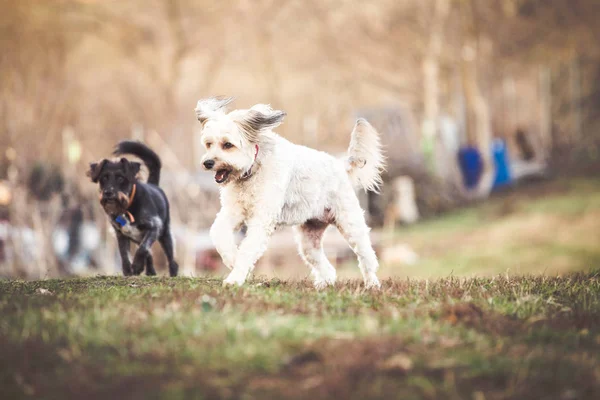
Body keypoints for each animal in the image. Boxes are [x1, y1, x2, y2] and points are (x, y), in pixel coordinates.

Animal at [87, 142, 178, 276]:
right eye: (103, 178)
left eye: (120, 178)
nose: (108, 193)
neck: (127, 208)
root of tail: (153, 185)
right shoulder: (120, 234)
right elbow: (124, 253)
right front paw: (128, 270)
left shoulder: (154, 227)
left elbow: (143, 249)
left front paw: (136, 266)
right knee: (149, 253)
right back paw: (150, 271)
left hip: (164, 234)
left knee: (171, 258)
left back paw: (172, 273)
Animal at [197, 98, 384, 290]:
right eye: (209, 144)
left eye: (227, 145)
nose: (208, 162)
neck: (252, 170)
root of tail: (341, 165)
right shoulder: (233, 212)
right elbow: (218, 233)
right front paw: (232, 259)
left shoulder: (261, 219)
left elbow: (247, 250)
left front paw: (235, 278)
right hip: (309, 240)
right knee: (326, 266)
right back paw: (324, 284)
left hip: (351, 226)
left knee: (367, 258)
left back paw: (372, 284)